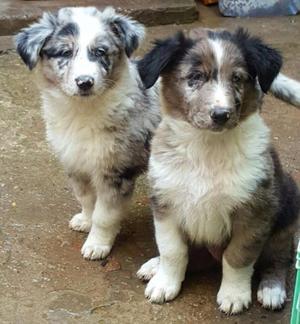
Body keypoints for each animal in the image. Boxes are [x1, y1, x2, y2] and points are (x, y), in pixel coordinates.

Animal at [15, 6, 162, 260]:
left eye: (100, 52)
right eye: (65, 52)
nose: (85, 82)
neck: (82, 111)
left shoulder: (114, 172)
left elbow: (104, 216)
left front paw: (97, 245)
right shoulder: (76, 162)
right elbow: (86, 199)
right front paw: (85, 220)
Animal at [137, 28, 300, 314]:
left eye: (237, 78)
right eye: (194, 77)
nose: (221, 114)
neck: (207, 145)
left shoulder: (254, 212)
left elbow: (237, 256)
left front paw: (234, 295)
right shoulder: (165, 203)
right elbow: (172, 250)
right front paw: (165, 283)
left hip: (287, 214)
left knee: (280, 258)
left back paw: (272, 289)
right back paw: (154, 266)